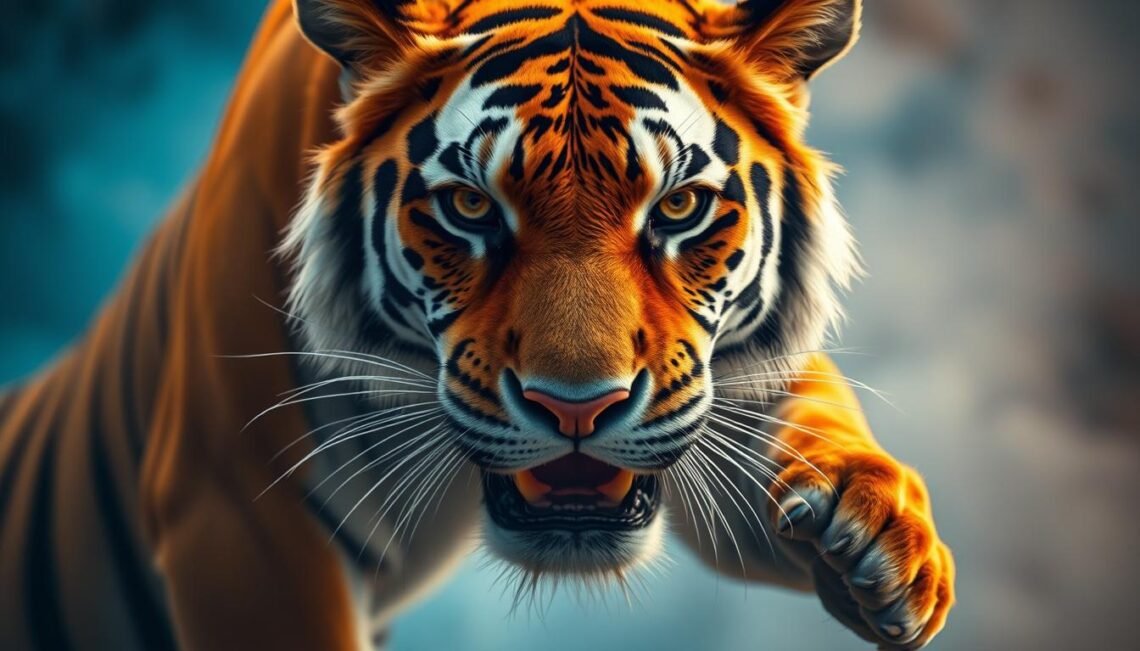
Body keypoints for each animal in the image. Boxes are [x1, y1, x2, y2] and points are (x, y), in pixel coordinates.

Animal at [0, 0, 955, 648]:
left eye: (678, 206)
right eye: (469, 206)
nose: (578, 408)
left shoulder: (721, 385)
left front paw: (876, 539)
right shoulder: (236, 514)